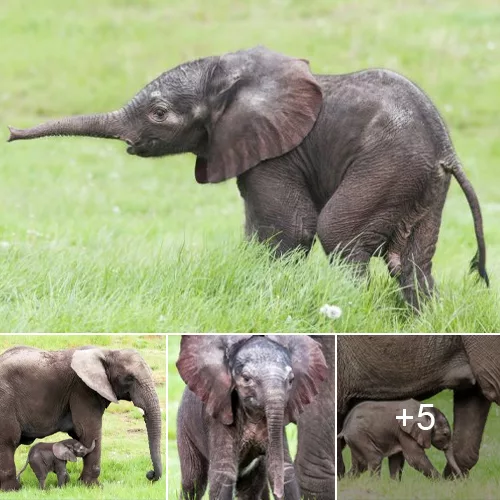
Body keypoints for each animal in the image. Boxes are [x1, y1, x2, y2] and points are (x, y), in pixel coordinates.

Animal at [0, 346, 162, 490]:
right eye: (129, 378)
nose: (150, 474)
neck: (107, 352)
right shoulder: (83, 389)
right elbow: (88, 432)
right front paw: (92, 487)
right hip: (5, 400)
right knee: (8, 439)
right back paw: (13, 489)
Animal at [7, 45, 488, 308]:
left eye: (159, 113)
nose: (10, 133)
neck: (233, 78)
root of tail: (446, 150)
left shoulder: (276, 154)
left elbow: (291, 228)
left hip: (387, 166)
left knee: (339, 233)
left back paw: (345, 308)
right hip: (419, 182)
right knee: (411, 260)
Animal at [176, 334, 328, 500]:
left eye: (291, 380)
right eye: (246, 378)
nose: (277, 492)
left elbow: (285, 468)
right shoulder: (219, 416)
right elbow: (223, 472)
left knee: (250, 486)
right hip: (184, 425)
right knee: (193, 481)